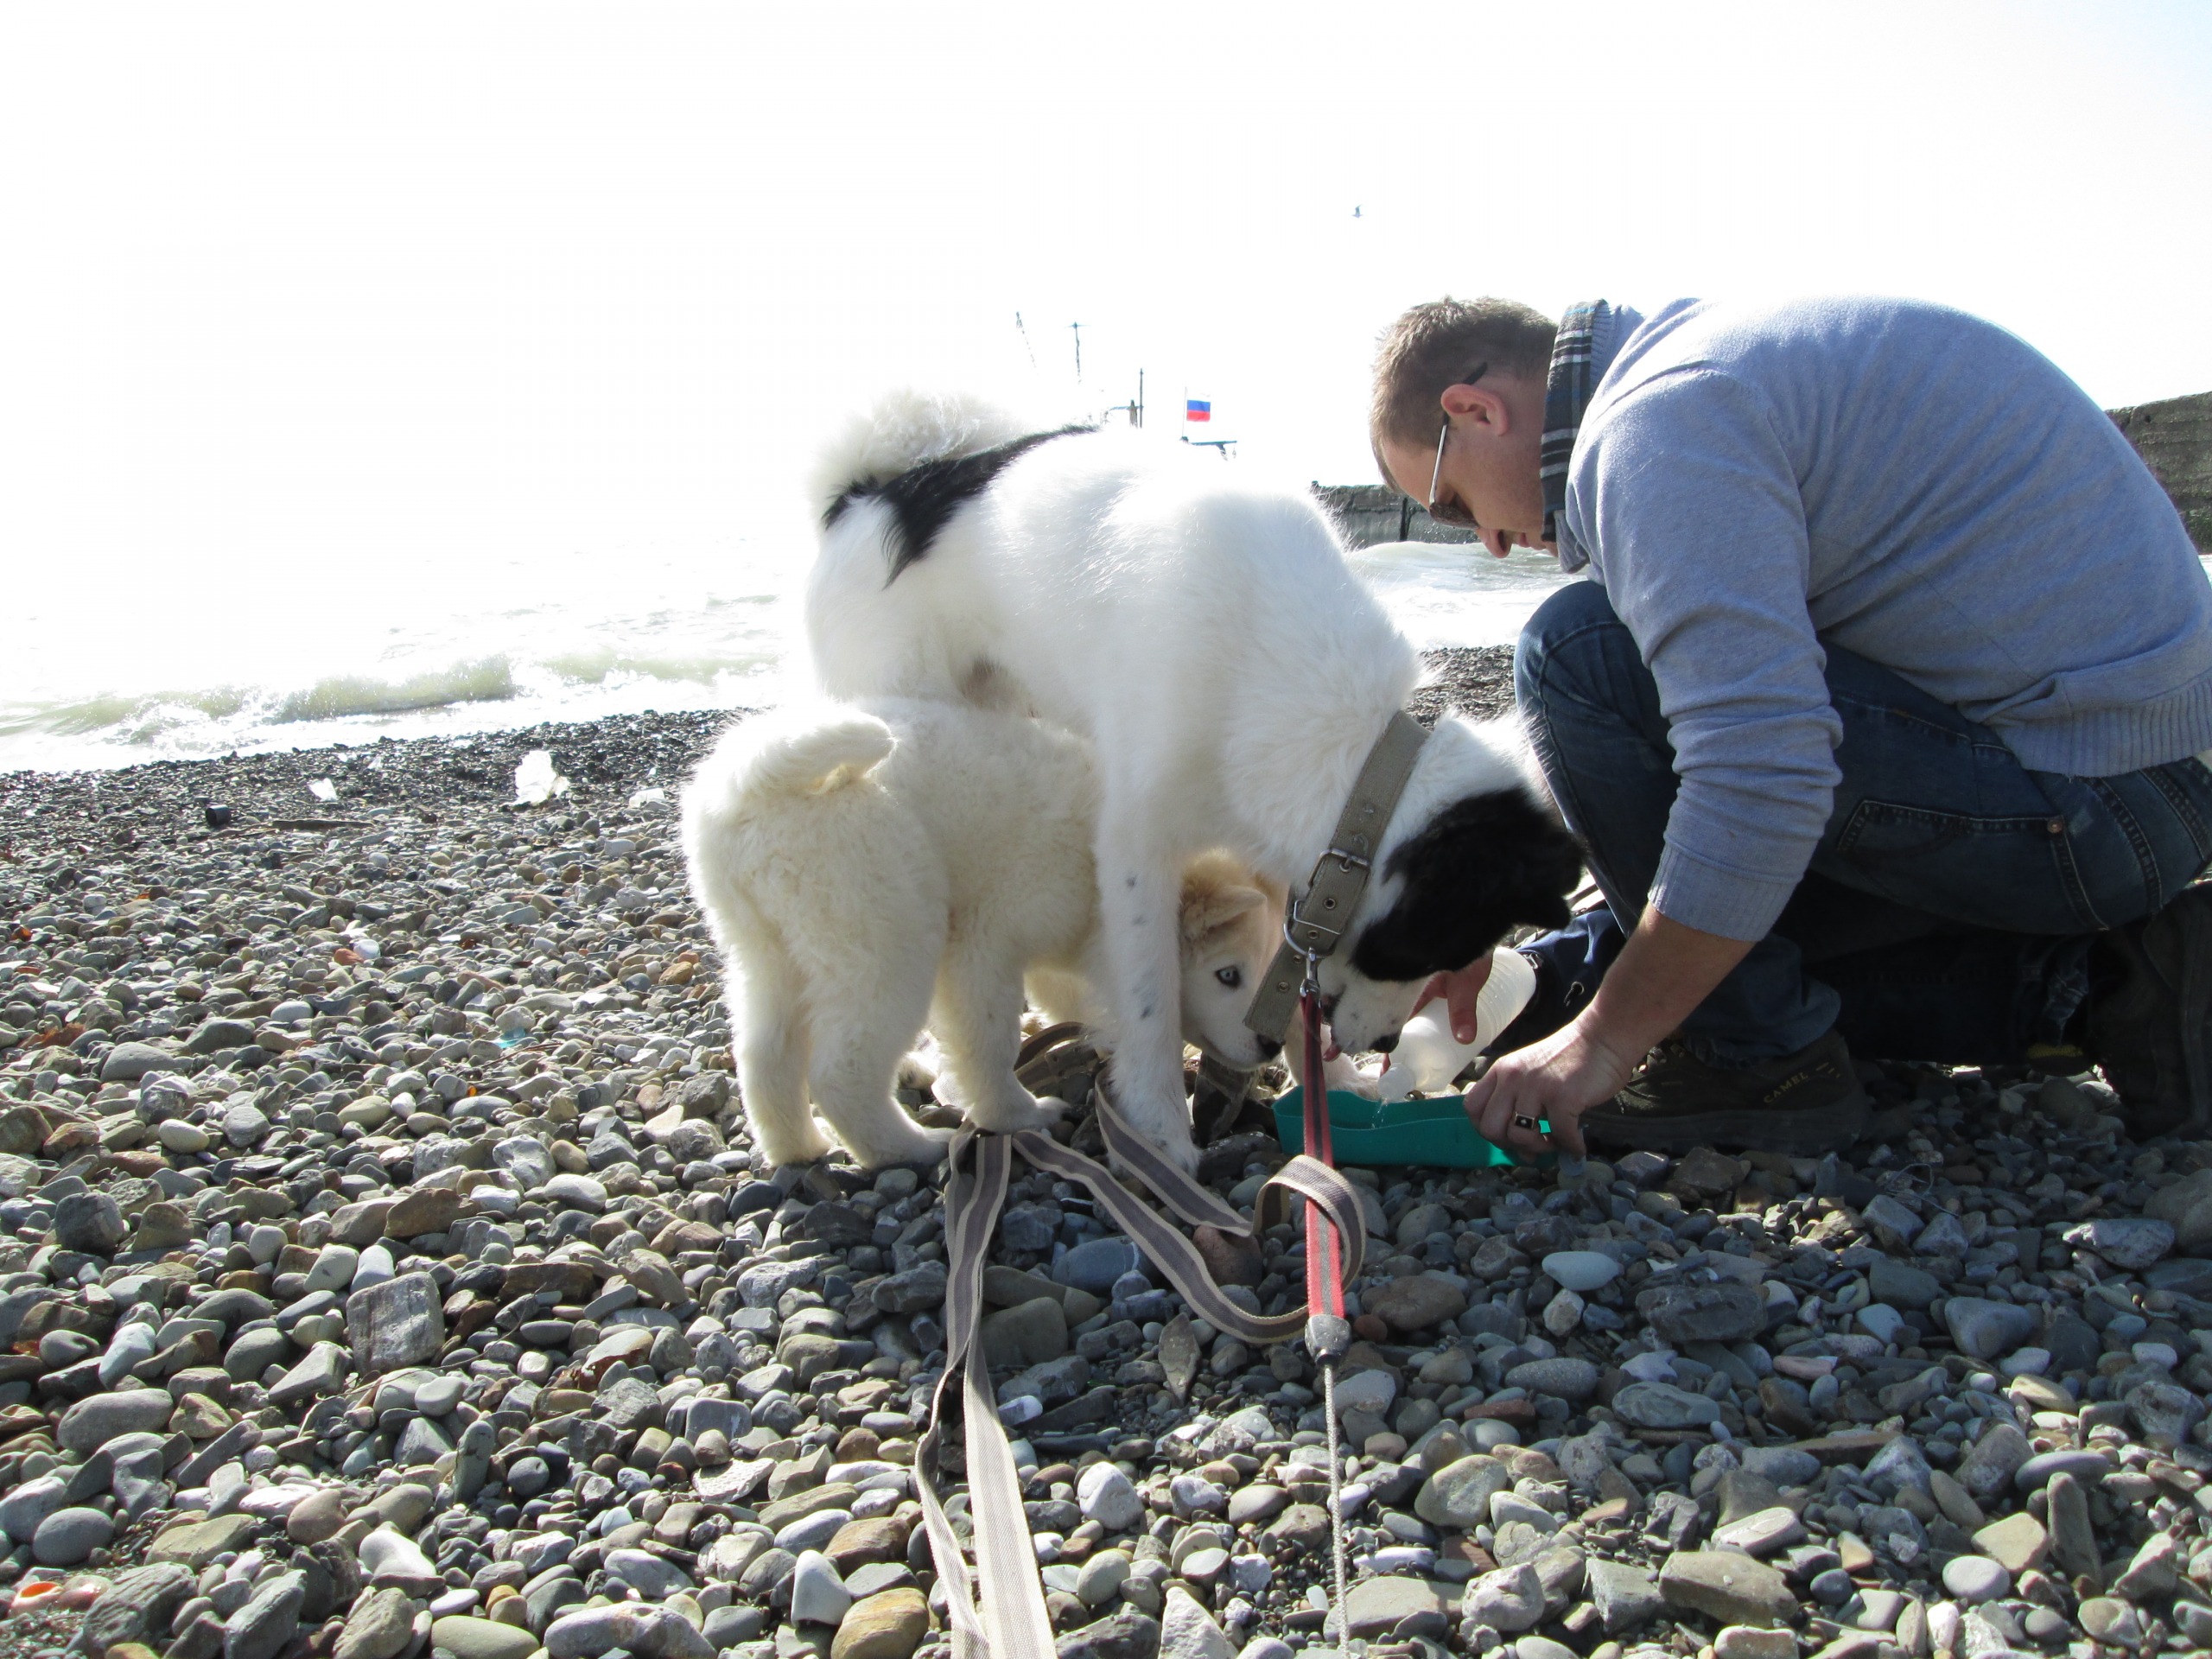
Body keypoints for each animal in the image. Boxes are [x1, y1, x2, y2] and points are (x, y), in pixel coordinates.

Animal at [681, 703, 1292, 1167]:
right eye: (1228, 976)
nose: (1271, 1047)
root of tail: (754, 785)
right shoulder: (983, 945)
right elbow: (990, 1042)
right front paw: (1014, 1115)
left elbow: (1065, 996)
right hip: (890, 940)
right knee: (841, 1073)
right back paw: (907, 1148)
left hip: (769, 950)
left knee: (765, 1057)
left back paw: (797, 1147)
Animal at [804, 393, 1583, 1167]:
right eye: (1430, 950)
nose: (1392, 1042)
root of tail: (870, 491)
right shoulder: (1136, 851)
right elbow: (1151, 999)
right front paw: (1160, 1130)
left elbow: (1285, 975)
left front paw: (1327, 1093)